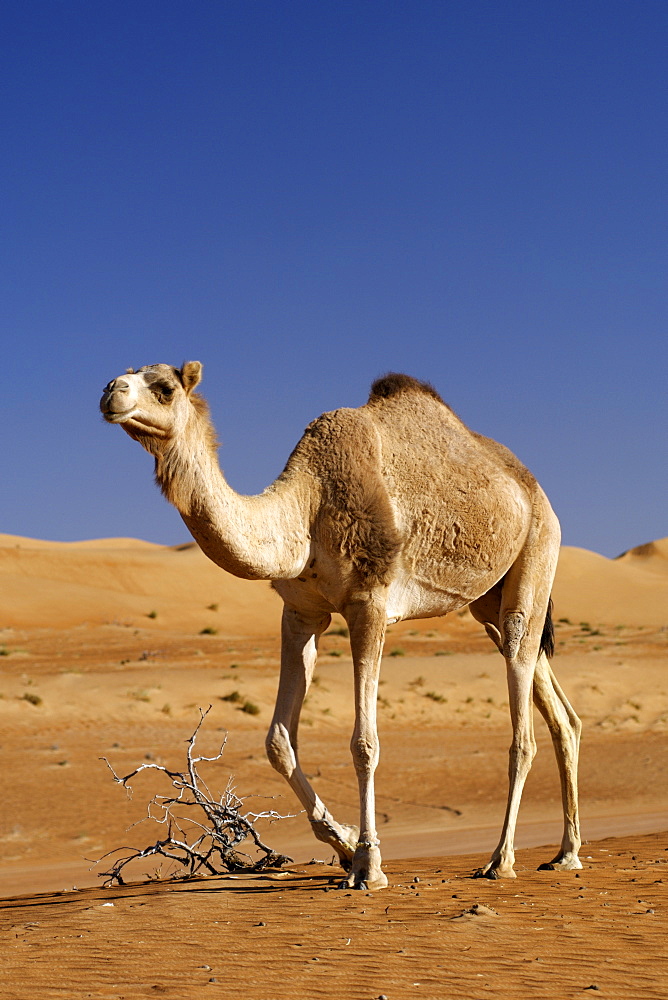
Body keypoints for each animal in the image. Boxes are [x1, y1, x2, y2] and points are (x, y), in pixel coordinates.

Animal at [99, 364, 580, 888]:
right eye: (126, 375)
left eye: (164, 388)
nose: (110, 392)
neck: (306, 509)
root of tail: (536, 489)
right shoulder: (301, 612)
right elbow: (277, 742)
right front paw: (345, 844)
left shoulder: (368, 603)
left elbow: (364, 743)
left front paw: (369, 865)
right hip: (487, 603)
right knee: (557, 708)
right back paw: (567, 852)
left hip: (539, 550)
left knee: (522, 716)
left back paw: (501, 859)